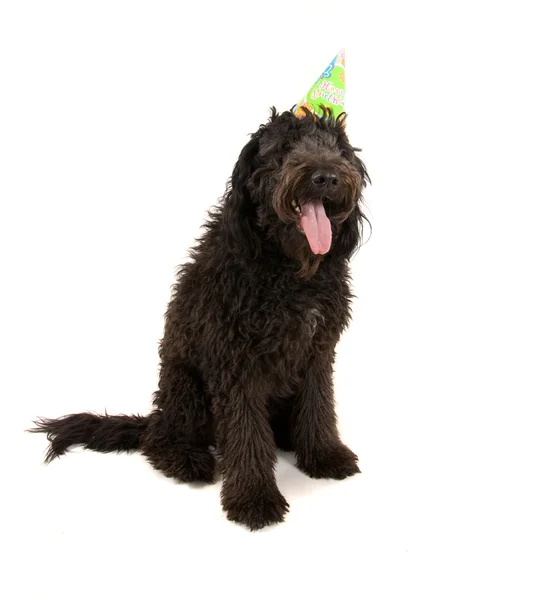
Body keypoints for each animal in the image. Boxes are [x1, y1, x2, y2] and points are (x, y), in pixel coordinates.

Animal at [31, 108, 368, 528]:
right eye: (285, 147)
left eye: (336, 148)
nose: (326, 177)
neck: (288, 270)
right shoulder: (236, 364)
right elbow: (245, 434)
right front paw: (253, 497)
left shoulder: (317, 352)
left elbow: (318, 407)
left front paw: (324, 455)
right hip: (184, 386)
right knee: (159, 441)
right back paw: (188, 459)